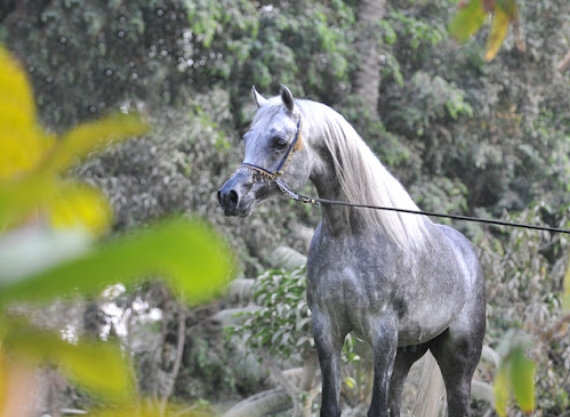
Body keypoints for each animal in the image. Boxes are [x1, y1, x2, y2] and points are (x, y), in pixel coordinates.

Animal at [217, 86, 484, 414]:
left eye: (279, 142)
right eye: (246, 139)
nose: (229, 196)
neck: (350, 235)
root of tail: (467, 253)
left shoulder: (383, 334)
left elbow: (375, 408)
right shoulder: (327, 328)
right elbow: (331, 405)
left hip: (458, 362)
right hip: (408, 351)